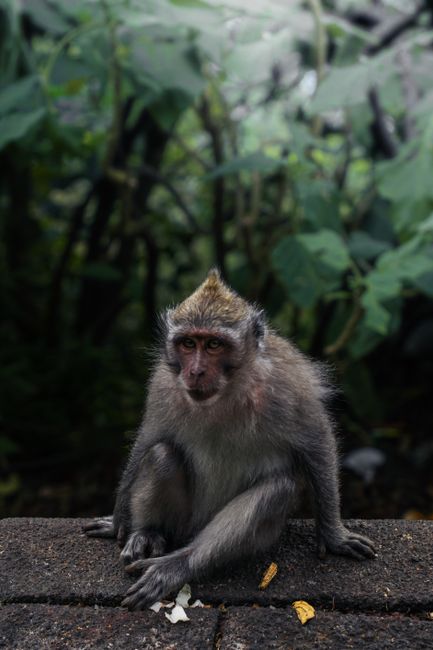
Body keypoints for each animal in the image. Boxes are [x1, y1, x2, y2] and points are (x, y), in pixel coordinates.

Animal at [83, 269, 376, 610]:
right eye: (188, 343)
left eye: (213, 344)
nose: (195, 371)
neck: (228, 389)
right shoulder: (163, 385)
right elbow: (149, 439)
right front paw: (117, 523)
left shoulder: (288, 384)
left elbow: (317, 441)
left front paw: (334, 535)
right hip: (184, 521)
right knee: (160, 455)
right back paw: (149, 534)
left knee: (277, 490)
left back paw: (179, 564)